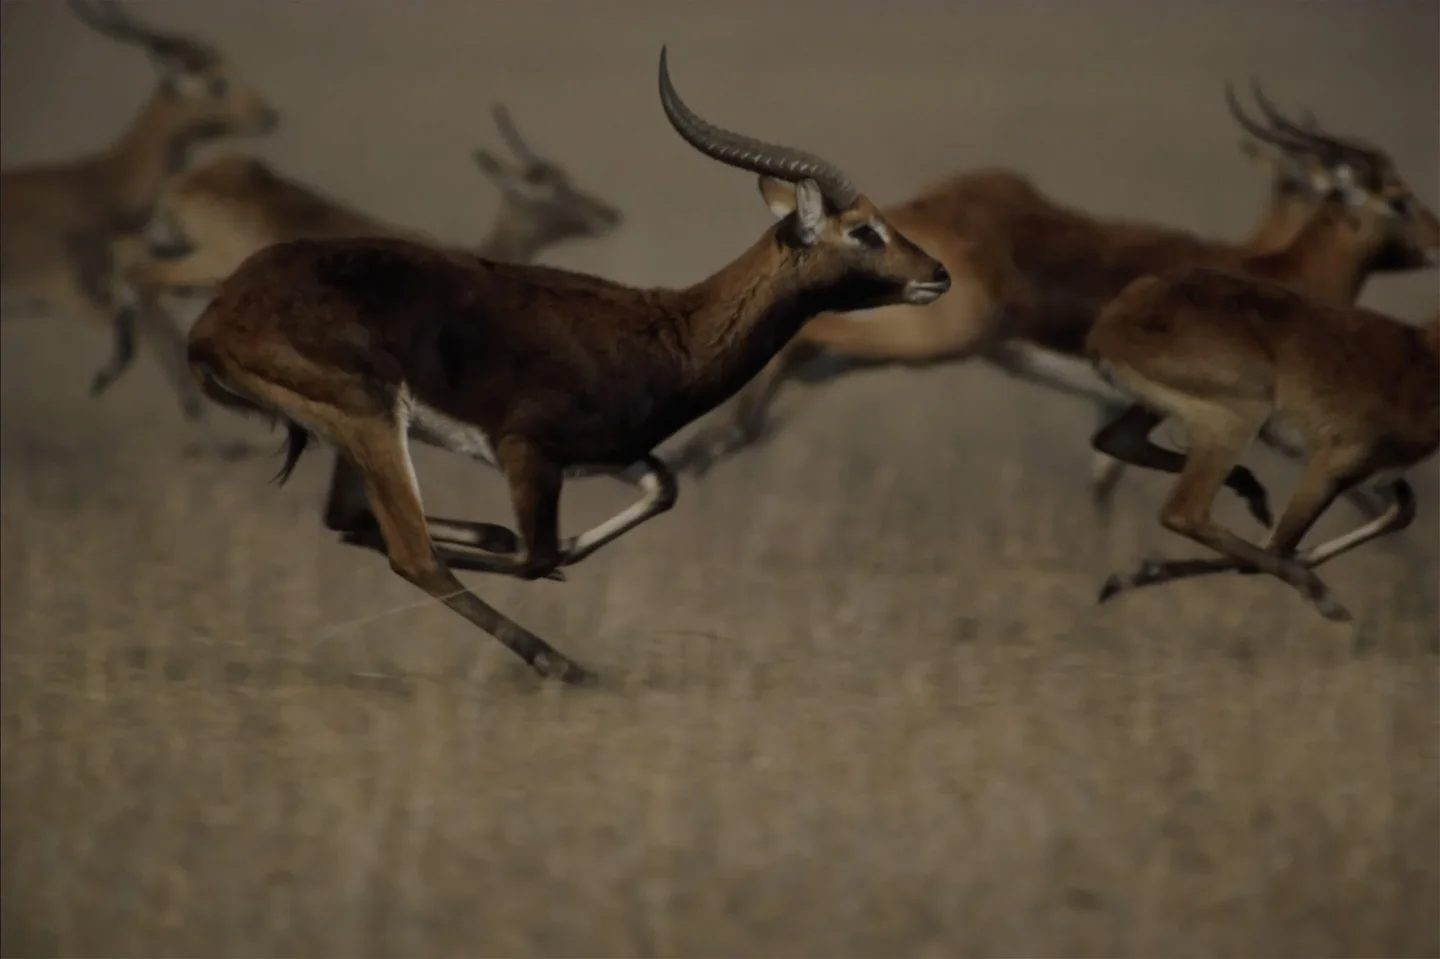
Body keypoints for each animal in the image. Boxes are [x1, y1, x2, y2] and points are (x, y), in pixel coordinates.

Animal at [100, 104, 623, 435]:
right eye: (549, 185)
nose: (607, 213)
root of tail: (190, 181)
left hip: (179, 249)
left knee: (127, 257)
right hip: (209, 265)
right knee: (143, 276)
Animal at [183, 48, 952, 683]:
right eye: (863, 230)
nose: (937, 274)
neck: (669, 328)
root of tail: (217, 313)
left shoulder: (605, 452)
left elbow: (661, 489)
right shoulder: (527, 451)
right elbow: (538, 554)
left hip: (357, 431)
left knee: (350, 518)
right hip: (370, 417)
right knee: (414, 552)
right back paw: (562, 662)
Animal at [673, 85, 1439, 523]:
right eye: (1397, 198)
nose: (1436, 239)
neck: (1276, 265)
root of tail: (926, 207)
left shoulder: (1121, 408)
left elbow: (1103, 482)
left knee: (796, 361)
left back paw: (704, 449)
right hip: (929, 338)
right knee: (804, 336)